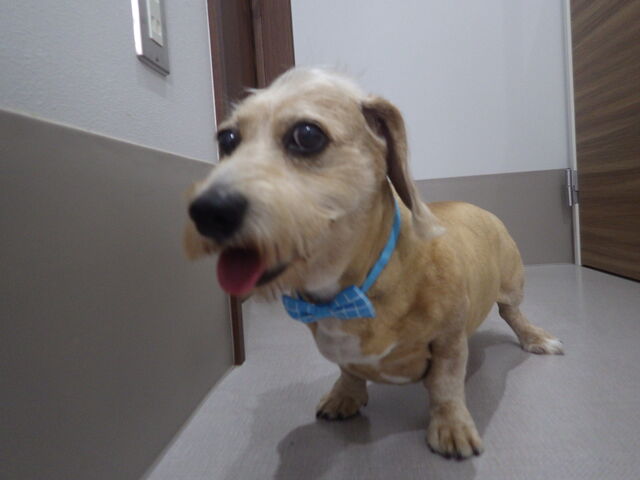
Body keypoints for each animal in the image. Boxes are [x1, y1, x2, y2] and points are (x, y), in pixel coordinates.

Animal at [184, 68, 563, 459]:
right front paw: (345, 396)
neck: (352, 291)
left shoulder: (448, 341)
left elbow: (445, 386)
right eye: (227, 139)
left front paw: (451, 427)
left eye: (307, 135)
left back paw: (536, 337)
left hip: (512, 284)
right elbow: (350, 372)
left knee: (513, 314)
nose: (207, 211)